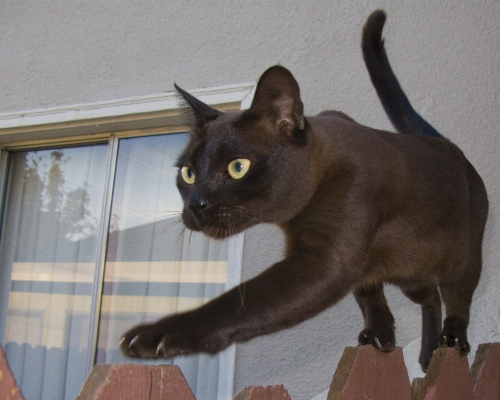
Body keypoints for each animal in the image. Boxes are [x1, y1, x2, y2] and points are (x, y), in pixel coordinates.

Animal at [119, 9, 486, 372]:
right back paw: (423, 355)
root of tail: (444, 143)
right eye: (189, 173)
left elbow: (238, 301)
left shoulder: (324, 260)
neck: (292, 217)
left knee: (457, 298)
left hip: (462, 259)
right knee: (429, 297)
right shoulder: (354, 264)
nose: (196, 204)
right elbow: (368, 295)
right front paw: (380, 336)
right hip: (408, 272)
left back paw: (451, 341)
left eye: (238, 167)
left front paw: (151, 337)